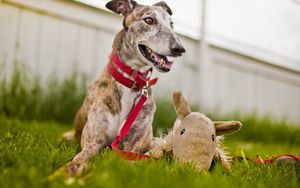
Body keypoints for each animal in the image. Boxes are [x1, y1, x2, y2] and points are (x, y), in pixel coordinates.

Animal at [61, 0, 185, 176]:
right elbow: (78, 160)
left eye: (171, 24)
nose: (179, 48)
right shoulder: (92, 144)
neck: (131, 82)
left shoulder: (127, 147)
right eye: (149, 20)